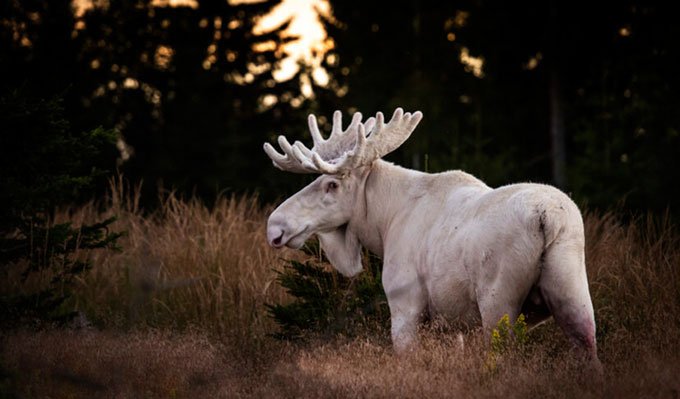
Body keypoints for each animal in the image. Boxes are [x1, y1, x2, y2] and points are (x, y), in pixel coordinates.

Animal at [262, 107, 596, 366]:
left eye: (331, 184)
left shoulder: (405, 304)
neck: (383, 223)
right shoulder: (451, 323)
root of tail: (547, 217)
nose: (275, 225)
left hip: (498, 299)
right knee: (589, 346)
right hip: (572, 288)